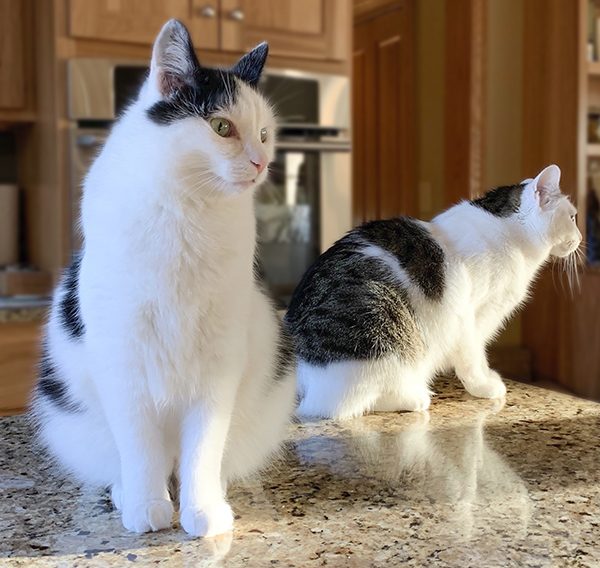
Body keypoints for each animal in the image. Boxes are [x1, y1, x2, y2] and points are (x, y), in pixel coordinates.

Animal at [29, 18, 296, 536]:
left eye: (265, 133)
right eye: (222, 127)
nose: (261, 163)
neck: (188, 213)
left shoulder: (219, 365)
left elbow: (203, 450)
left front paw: (203, 510)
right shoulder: (123, 363)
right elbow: (139, 449)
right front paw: (146, 506)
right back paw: (125, 491)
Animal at [286, 164, 580, 418]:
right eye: (573, 216)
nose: (579, 238)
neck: (512, 233)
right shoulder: (469, 318)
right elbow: (473, 358)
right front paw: (485, 386)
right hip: (384, 331)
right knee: (345, 404)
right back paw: (416, 397)